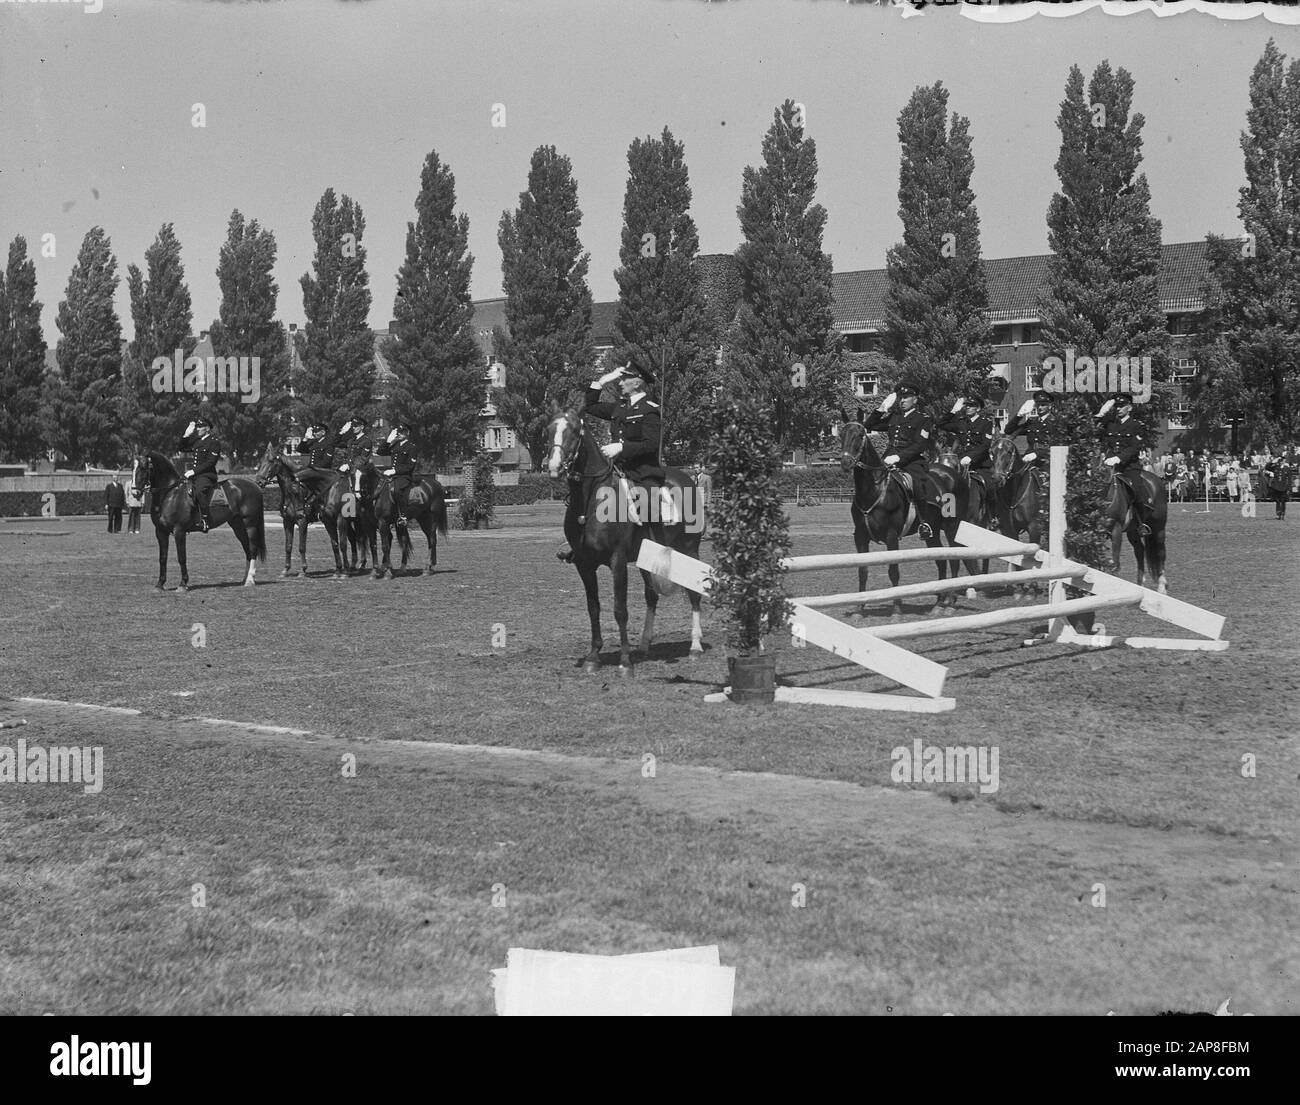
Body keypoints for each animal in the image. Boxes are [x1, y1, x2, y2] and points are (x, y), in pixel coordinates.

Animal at [131, 447, 266, 590]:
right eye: (133, 468)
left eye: (144, 467)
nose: (135, 492)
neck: (170, 494)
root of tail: (254, 485)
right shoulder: (161, 532)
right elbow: (163, 557)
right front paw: (160, 584)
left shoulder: (179, 531)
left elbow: (181, 557)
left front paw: (183, 584)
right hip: (238, 525)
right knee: (247, 549)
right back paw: (245, 579)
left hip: (250, 525)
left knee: (252, 548)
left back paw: (250, 579)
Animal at [543, 408, 707, 670]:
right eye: (548, 429)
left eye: (574, 430)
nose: (554, 466)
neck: (592, 500)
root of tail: (686, 478)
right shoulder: (584, 565)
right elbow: (593, 608)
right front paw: (593, 656)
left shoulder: (617, 561)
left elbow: (620, 609)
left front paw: (624, 660)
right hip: (647, 558)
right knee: (651, 596)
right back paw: (644, 645)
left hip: (690, 550)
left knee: (694, 592)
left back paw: (695, 646)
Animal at [837, 408, 951, 616]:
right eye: (842, 434)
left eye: (860, 434)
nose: (846, 462)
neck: (874, 488)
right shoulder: (860, 537)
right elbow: (862, 571)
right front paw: (859, 608)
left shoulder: (891, 536)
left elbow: (893, 571)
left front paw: (896, 609)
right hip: (934, 534)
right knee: (941, 560)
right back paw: (939, 601)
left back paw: (944, 602)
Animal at [1107, 460, 1170, 590]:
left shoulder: (1115, 527)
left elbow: (1115, 561)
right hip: (1133, 531)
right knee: (1140, 551)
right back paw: (1140, 583)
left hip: (1159, 529)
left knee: (1160, 553)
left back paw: (1161, 587)